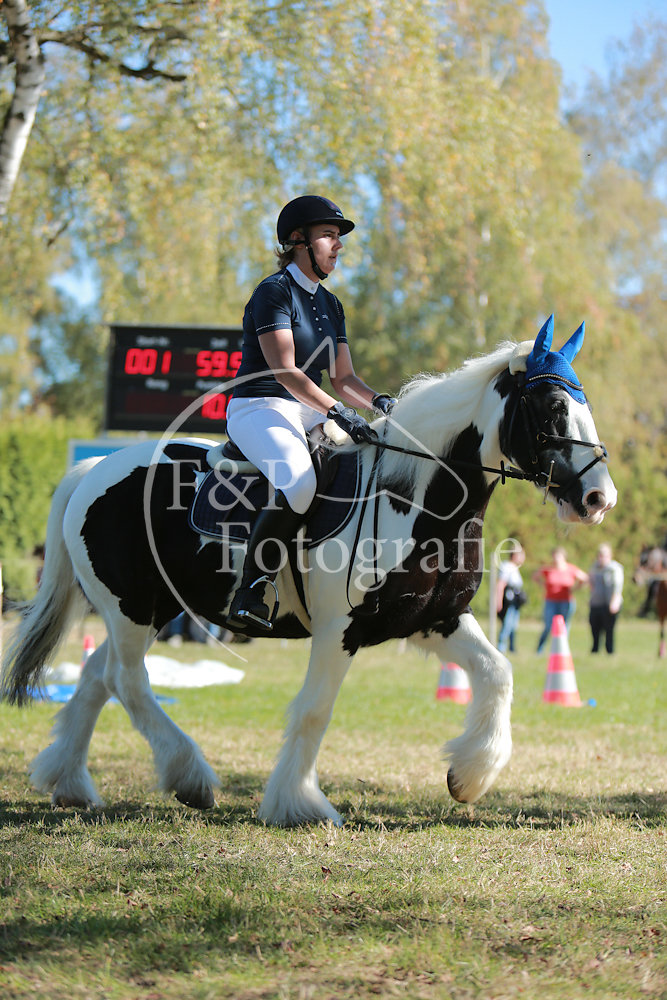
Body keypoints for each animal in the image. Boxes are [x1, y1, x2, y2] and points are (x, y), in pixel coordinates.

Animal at [1, 316, 616, 824]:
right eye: (553, 408)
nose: (598, 498)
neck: (413, 498)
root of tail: (94, 467)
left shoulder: (432, 620)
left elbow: (497, 673)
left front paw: (469, 775)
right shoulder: (339, 629)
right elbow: (315, 710)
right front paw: (298, 804)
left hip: (149, 608)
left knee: (95, 677)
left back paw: (70, 782)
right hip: (133, 608)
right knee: (126, 681)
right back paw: (188, 776)